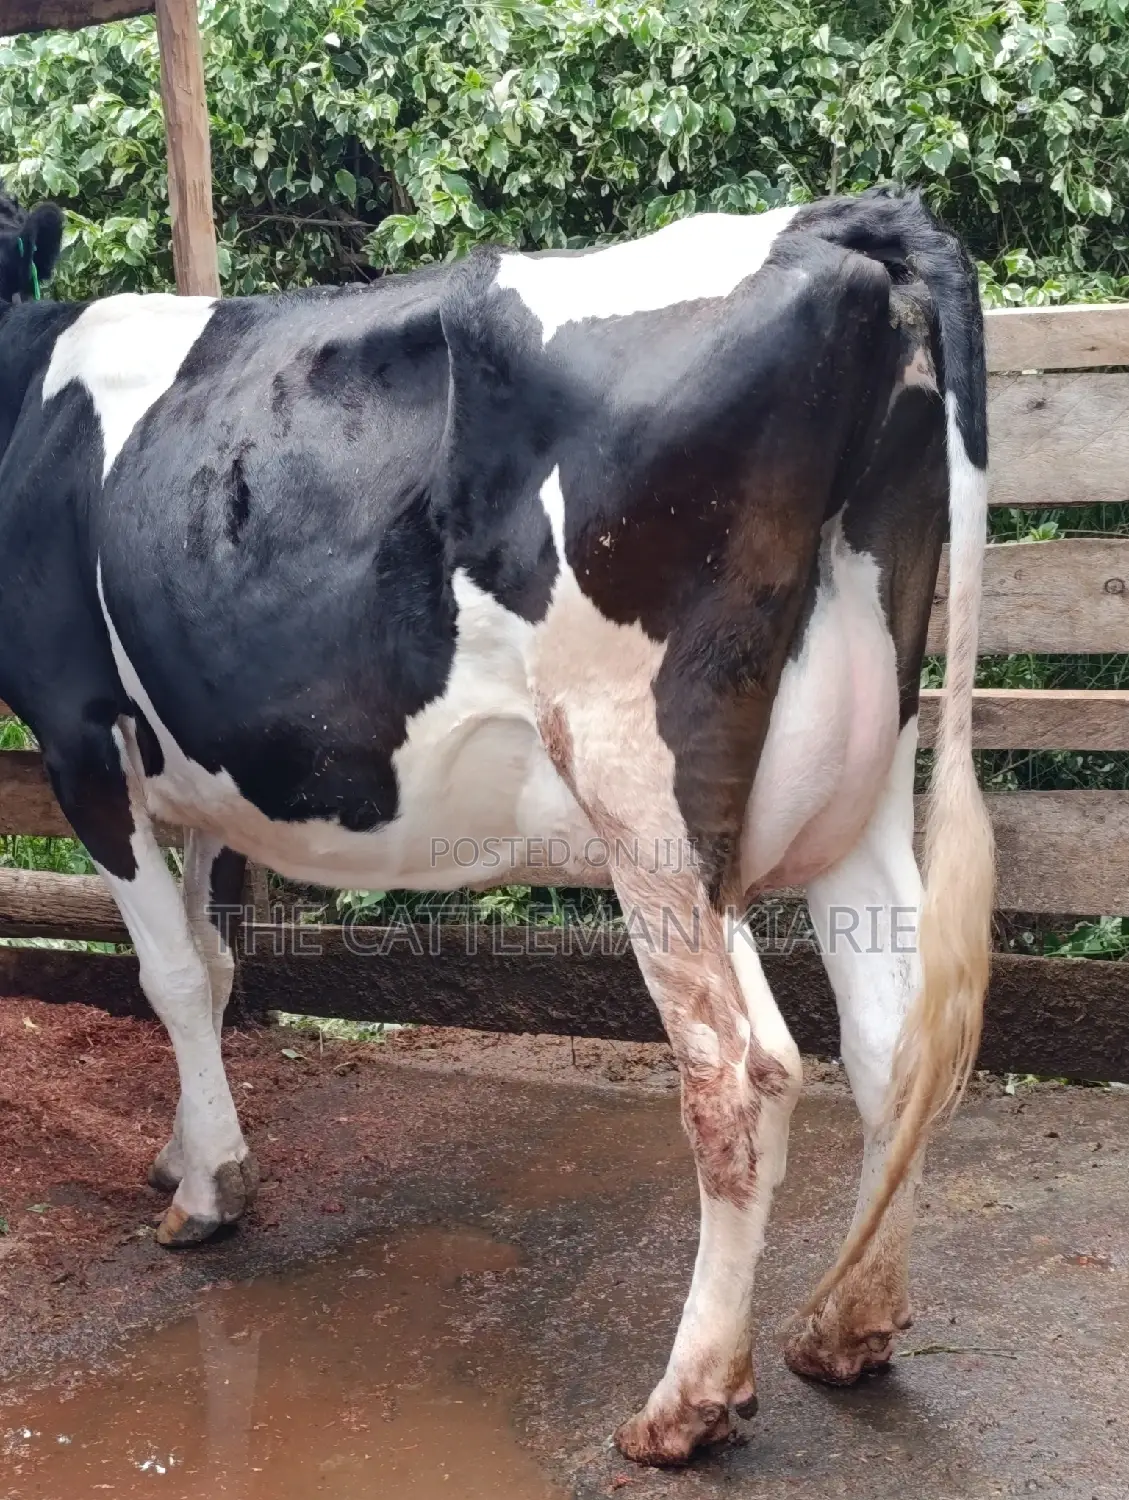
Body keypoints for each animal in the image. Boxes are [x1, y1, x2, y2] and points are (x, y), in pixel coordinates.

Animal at [0, 185, 993, 1466]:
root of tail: (838, 219)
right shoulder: (209, 760)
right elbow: (214, 963)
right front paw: (186, 1148)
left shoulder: (79, 731)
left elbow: (170, 972)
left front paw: (209, 1189)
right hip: (863, 763)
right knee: (894, 1039)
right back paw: (846, 1327)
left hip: (645, 786)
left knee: (740, 1069)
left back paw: (687, 1401)